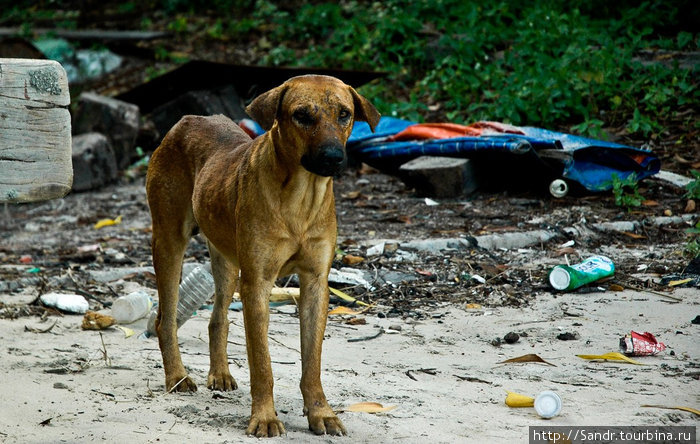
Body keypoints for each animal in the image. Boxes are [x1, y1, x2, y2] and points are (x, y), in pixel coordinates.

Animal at [145, 75, 380, 438]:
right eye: (302, 116)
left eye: (344, 114)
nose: (332, 157)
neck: (301, 197)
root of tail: (188, 119)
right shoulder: (257, 283)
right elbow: (262, 364)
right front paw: (265, 418)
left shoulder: (315, 283)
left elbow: (312, 362)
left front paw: (320, 412)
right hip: (169, 241)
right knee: (165, 319)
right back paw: (177, 376)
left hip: (226, 258)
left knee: (218, 318)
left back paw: (220, 373)